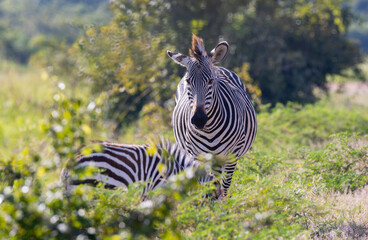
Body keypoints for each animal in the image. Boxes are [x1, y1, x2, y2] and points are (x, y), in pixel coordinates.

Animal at [167, 34, 258, 196]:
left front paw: (224, 202)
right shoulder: (197, 156)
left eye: (210, 81)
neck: (209, 130)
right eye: (188, 81)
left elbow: (225, 186)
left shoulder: (232, 155)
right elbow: (207, 185)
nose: (198, 120)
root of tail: (218, 67)